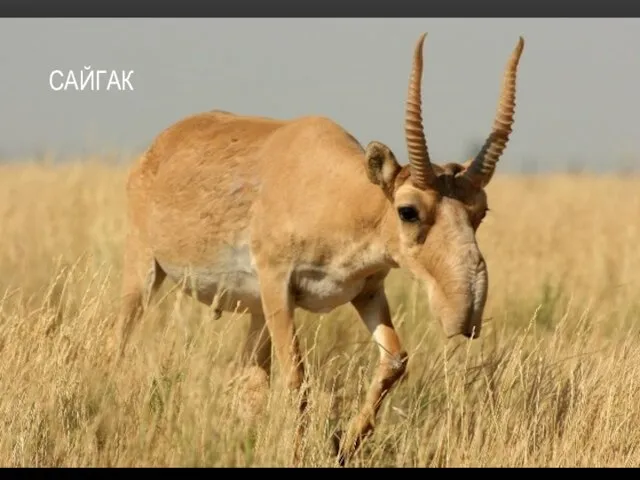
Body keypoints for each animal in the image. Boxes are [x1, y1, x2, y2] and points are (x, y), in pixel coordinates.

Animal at [115, 33, 524, 464]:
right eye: (408, 210)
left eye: (480, 210)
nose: (465, 314)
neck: (338, 194)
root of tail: (158, 147)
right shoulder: (278, 287)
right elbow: (297, 376)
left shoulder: (366, 290)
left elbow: (395, 360)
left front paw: (343, 445)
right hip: (144, 273)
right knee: (121, 340)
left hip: (255, 312)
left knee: (249, 380)